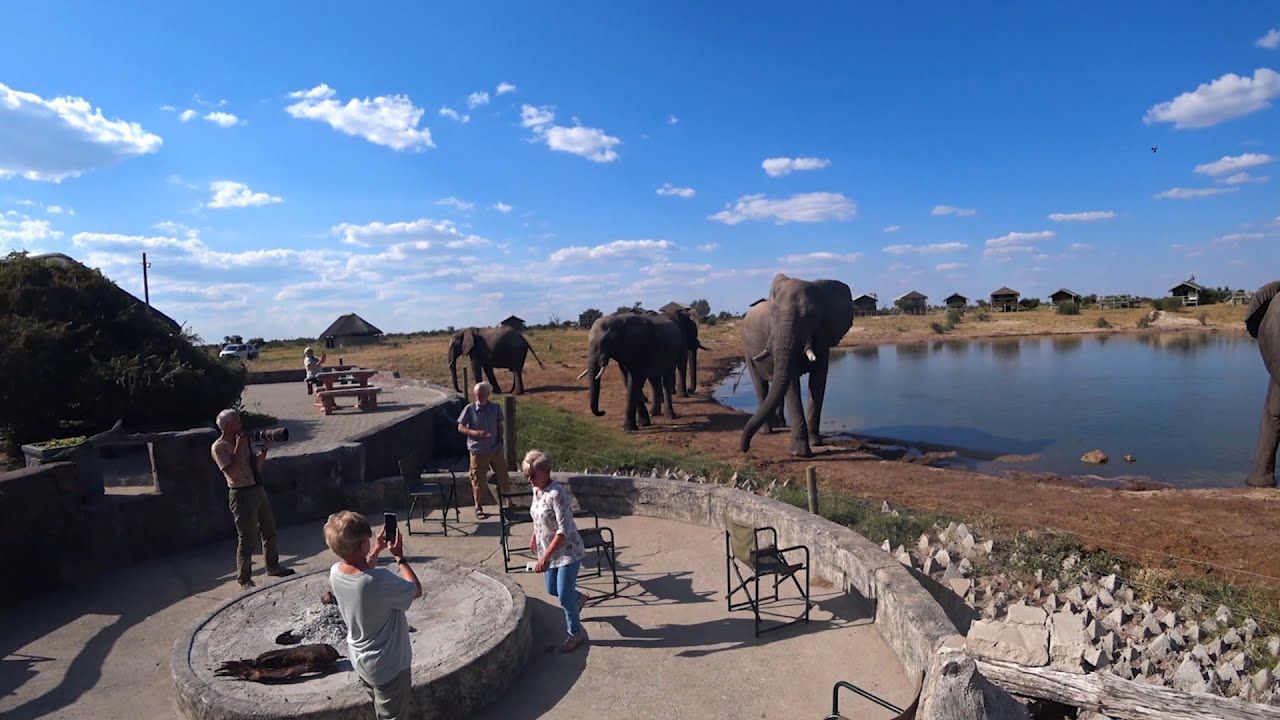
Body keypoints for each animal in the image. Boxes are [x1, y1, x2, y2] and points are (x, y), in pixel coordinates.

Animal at [739, 273, 855, 458]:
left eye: (812, 316)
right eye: (773, 315)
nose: (745, 449)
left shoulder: (822, 335)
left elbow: (818, 381)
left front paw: (816, 443)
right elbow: (792, 384)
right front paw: (800, 453)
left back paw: (780, 425)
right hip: (746, 347)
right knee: (761, 385)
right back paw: (767, 431)